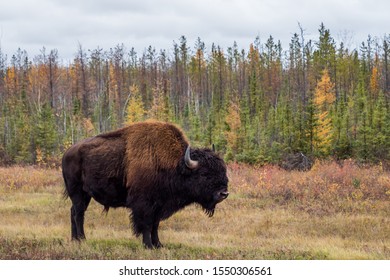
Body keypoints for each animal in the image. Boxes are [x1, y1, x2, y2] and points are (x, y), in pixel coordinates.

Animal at [61, 121, 229, 248]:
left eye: (223, 170)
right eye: (204, 174)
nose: (224, 193)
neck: (175, 165)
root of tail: (67, 152)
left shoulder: (159, 205)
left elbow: (155, 225)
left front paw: (158, 245)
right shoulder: (144, 205)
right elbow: (146, 225)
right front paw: (148, 245)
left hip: (85, 195)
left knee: (74, 211)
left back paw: (75, 239)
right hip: (77, 192)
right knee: (78, 213)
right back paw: (82, 239)